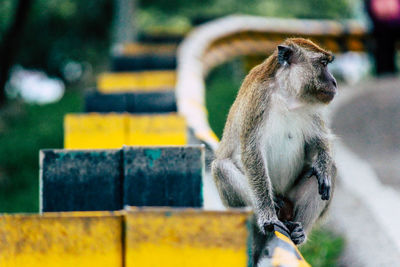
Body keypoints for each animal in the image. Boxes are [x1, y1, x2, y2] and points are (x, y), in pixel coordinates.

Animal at [212, 38, 338, 260]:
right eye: (323, 64)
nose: (334, 82)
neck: (286, 93)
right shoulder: (257, 100)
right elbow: (251, 153)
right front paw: (267, 218)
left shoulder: (312, 105)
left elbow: (319, 141)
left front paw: (322, 166)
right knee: (221, 168)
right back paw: (271, 212)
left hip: (292, 200)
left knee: (329, 171)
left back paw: (298, 231)